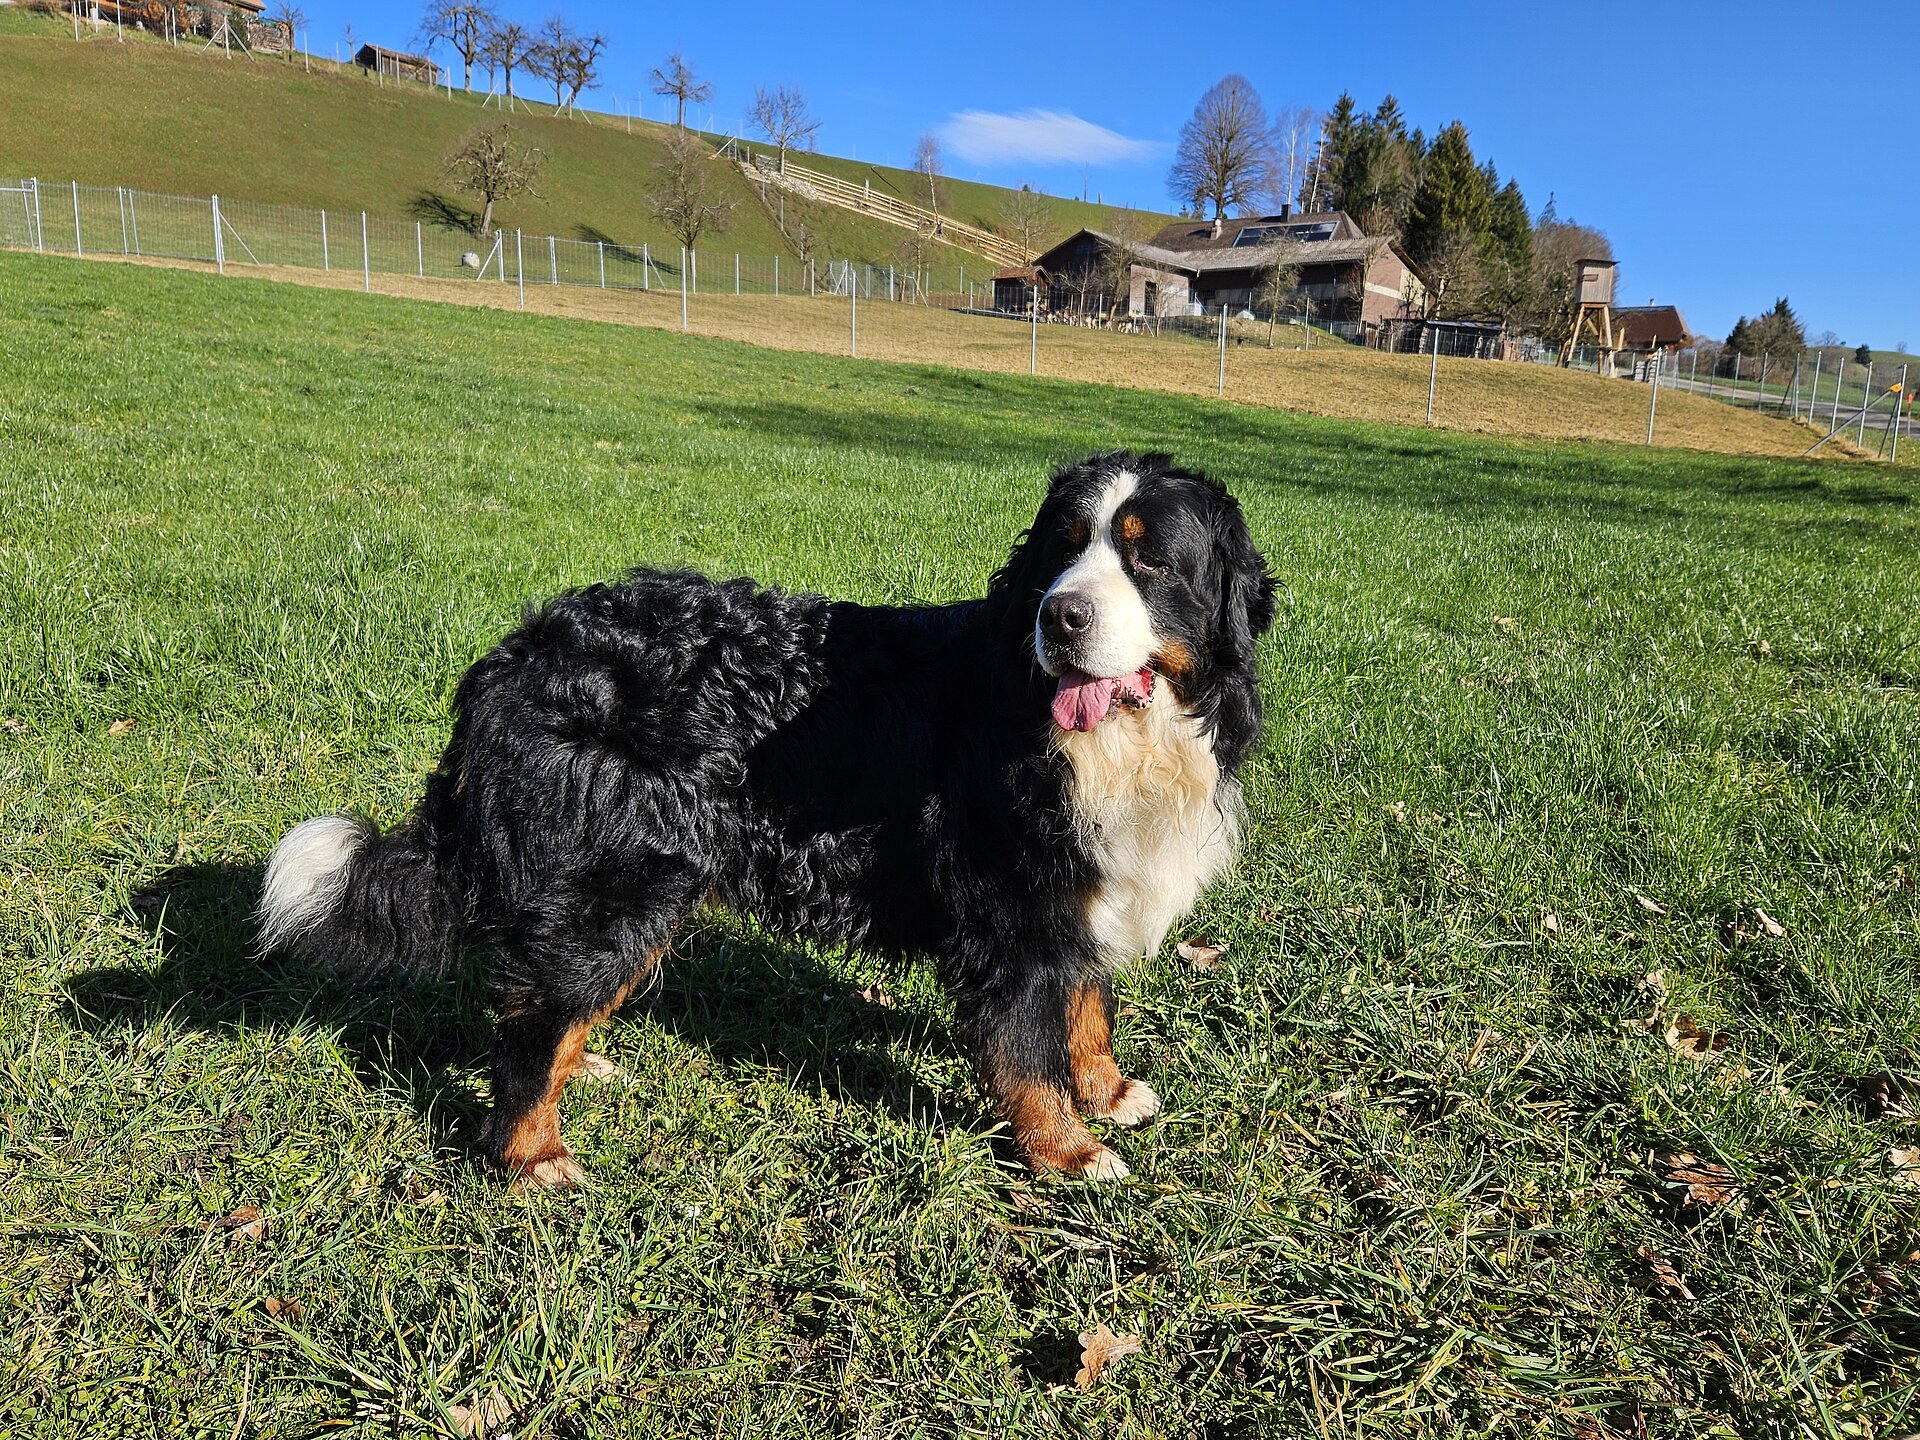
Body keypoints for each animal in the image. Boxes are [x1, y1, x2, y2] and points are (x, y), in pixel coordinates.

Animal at [259, 456, 1274, 1190]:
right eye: (1061, 552)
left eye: (1148, 560)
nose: (1060, 617)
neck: (1117, 744)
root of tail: (520, 652)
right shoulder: (1012, 916)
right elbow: (1028, 1048)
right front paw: (1065, 1149)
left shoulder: (1086, 887)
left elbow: (1086, 1005)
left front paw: (1105, 1087)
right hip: (620, 883)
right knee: (530, 1017)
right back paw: (532, 1150)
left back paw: (579, 1066)